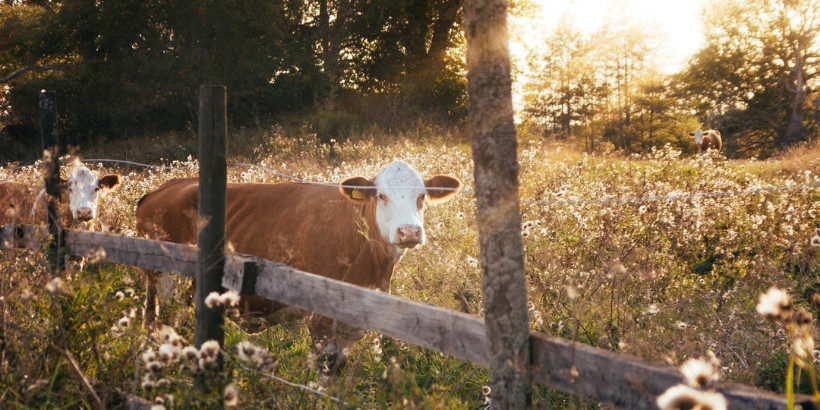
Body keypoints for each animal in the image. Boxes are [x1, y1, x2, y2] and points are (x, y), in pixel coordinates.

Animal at [136, 161, 462, 382]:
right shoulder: (319, 318)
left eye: (422, 196)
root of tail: (163, 188)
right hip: (166, 279)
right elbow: (325, 368)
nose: (409, 232)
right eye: (381, 195)